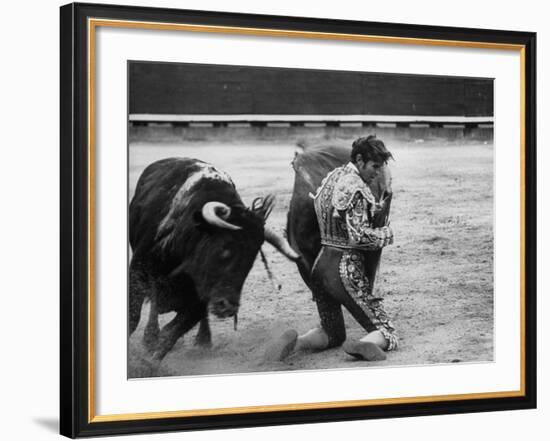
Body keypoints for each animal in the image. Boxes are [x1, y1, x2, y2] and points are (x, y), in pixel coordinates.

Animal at [130, 156, 300, 366]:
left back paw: (203, 340)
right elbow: (134, 318)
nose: (228, 307)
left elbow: (171, 334)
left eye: (251, 260)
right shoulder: (137, 272)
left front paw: (149, 363)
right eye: (225, 249)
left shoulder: (200, 300)